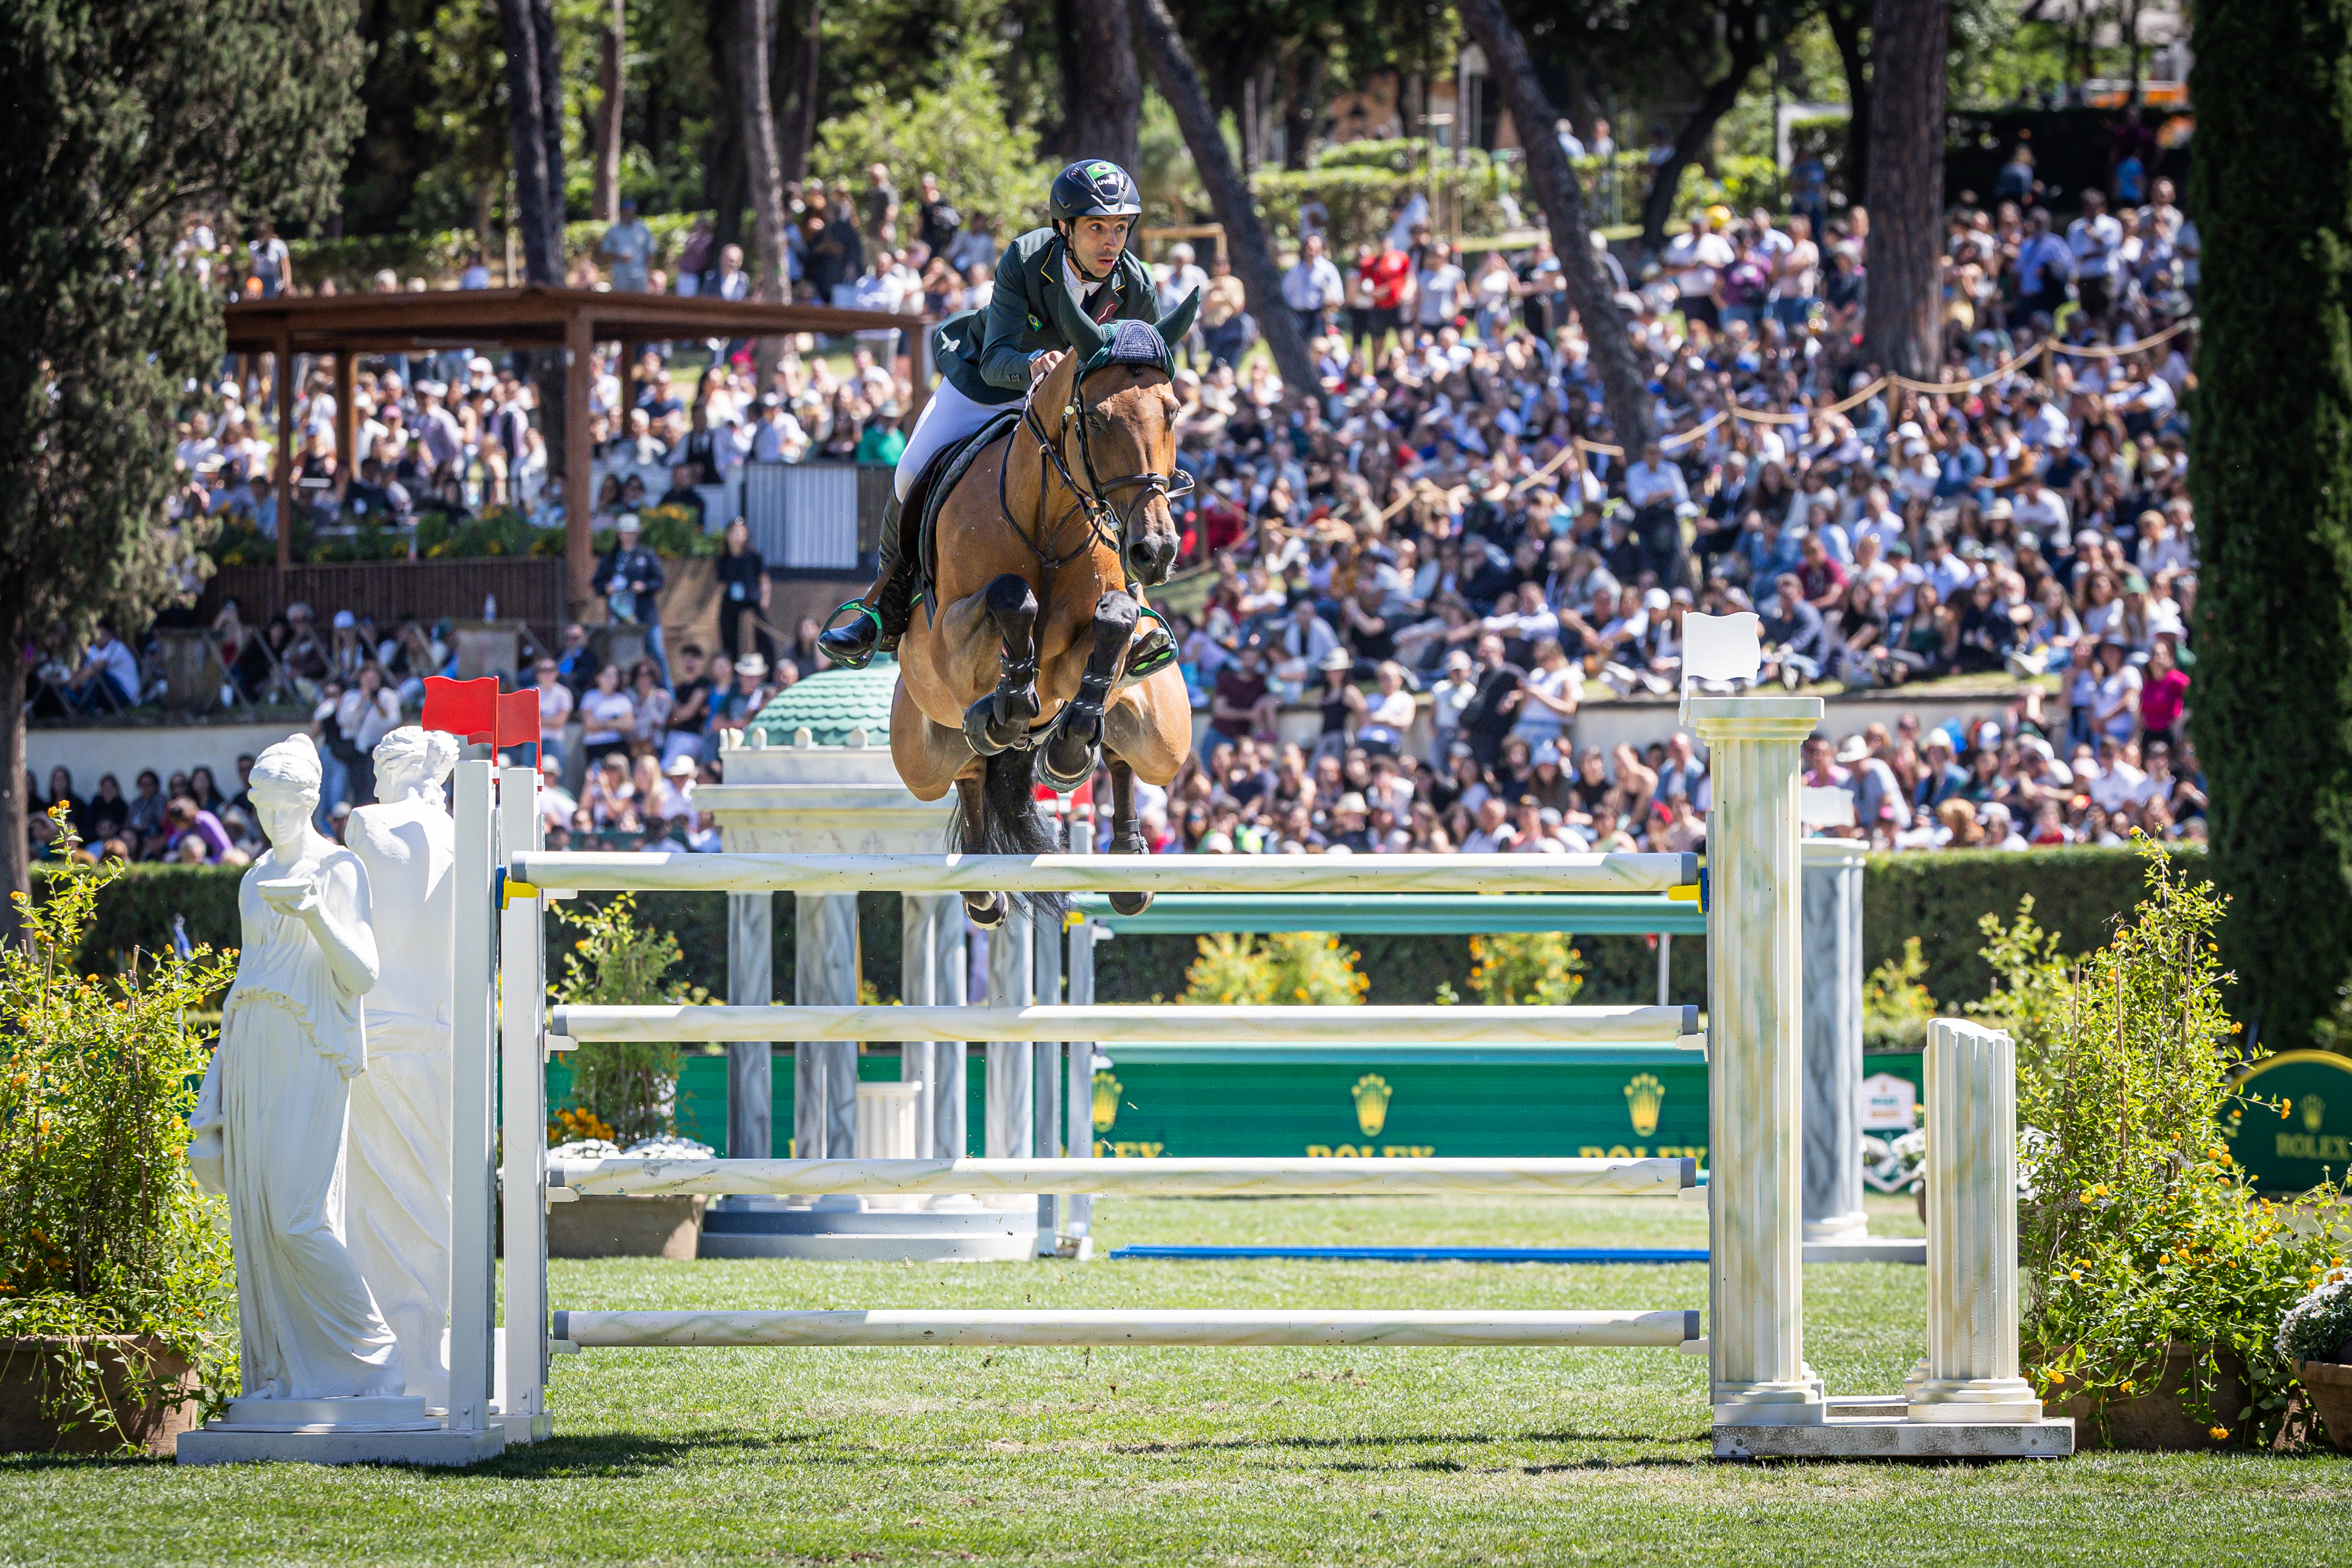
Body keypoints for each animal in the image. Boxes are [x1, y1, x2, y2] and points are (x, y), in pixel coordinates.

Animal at [888, 289, 1201, 928]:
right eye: (1097, 419)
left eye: (1173, 411)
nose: (1154, 550)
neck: (1049, 523)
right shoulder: (948, 644)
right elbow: (1012, 598)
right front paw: (1008, 707)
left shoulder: (1079, 657)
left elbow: (1114, 623)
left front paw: (1066, 745)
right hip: (920, 758)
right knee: (968, 772)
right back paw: (982, 881)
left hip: (1164, 737)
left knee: (1123, 755)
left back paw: (1125, 855)